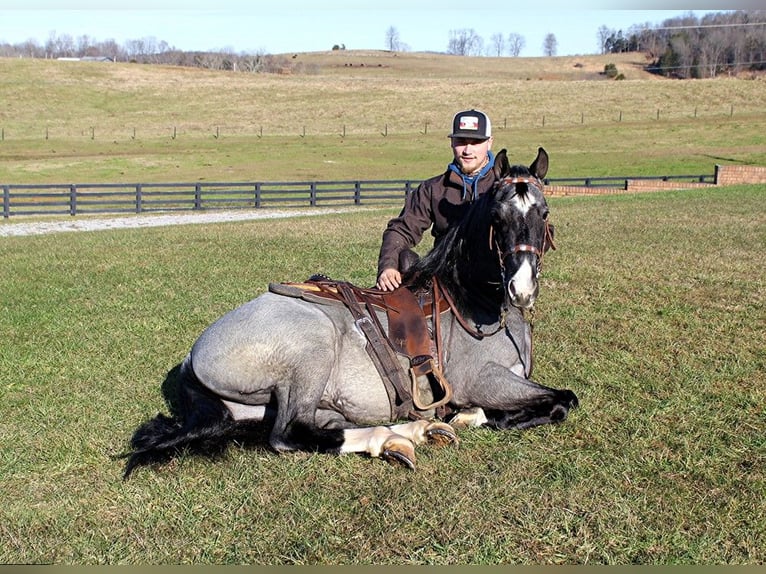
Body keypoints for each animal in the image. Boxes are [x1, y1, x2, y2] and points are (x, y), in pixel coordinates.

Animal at [123, 146, 580, 480]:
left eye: (544, 213)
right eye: (497, 217)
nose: (521, 288)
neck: (467, 300)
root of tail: (193, 356)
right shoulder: (481, 380)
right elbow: (563, 400)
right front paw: (473, 416)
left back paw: (414, 431)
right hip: (312, 346)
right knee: (289, 434)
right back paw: (394, 437)